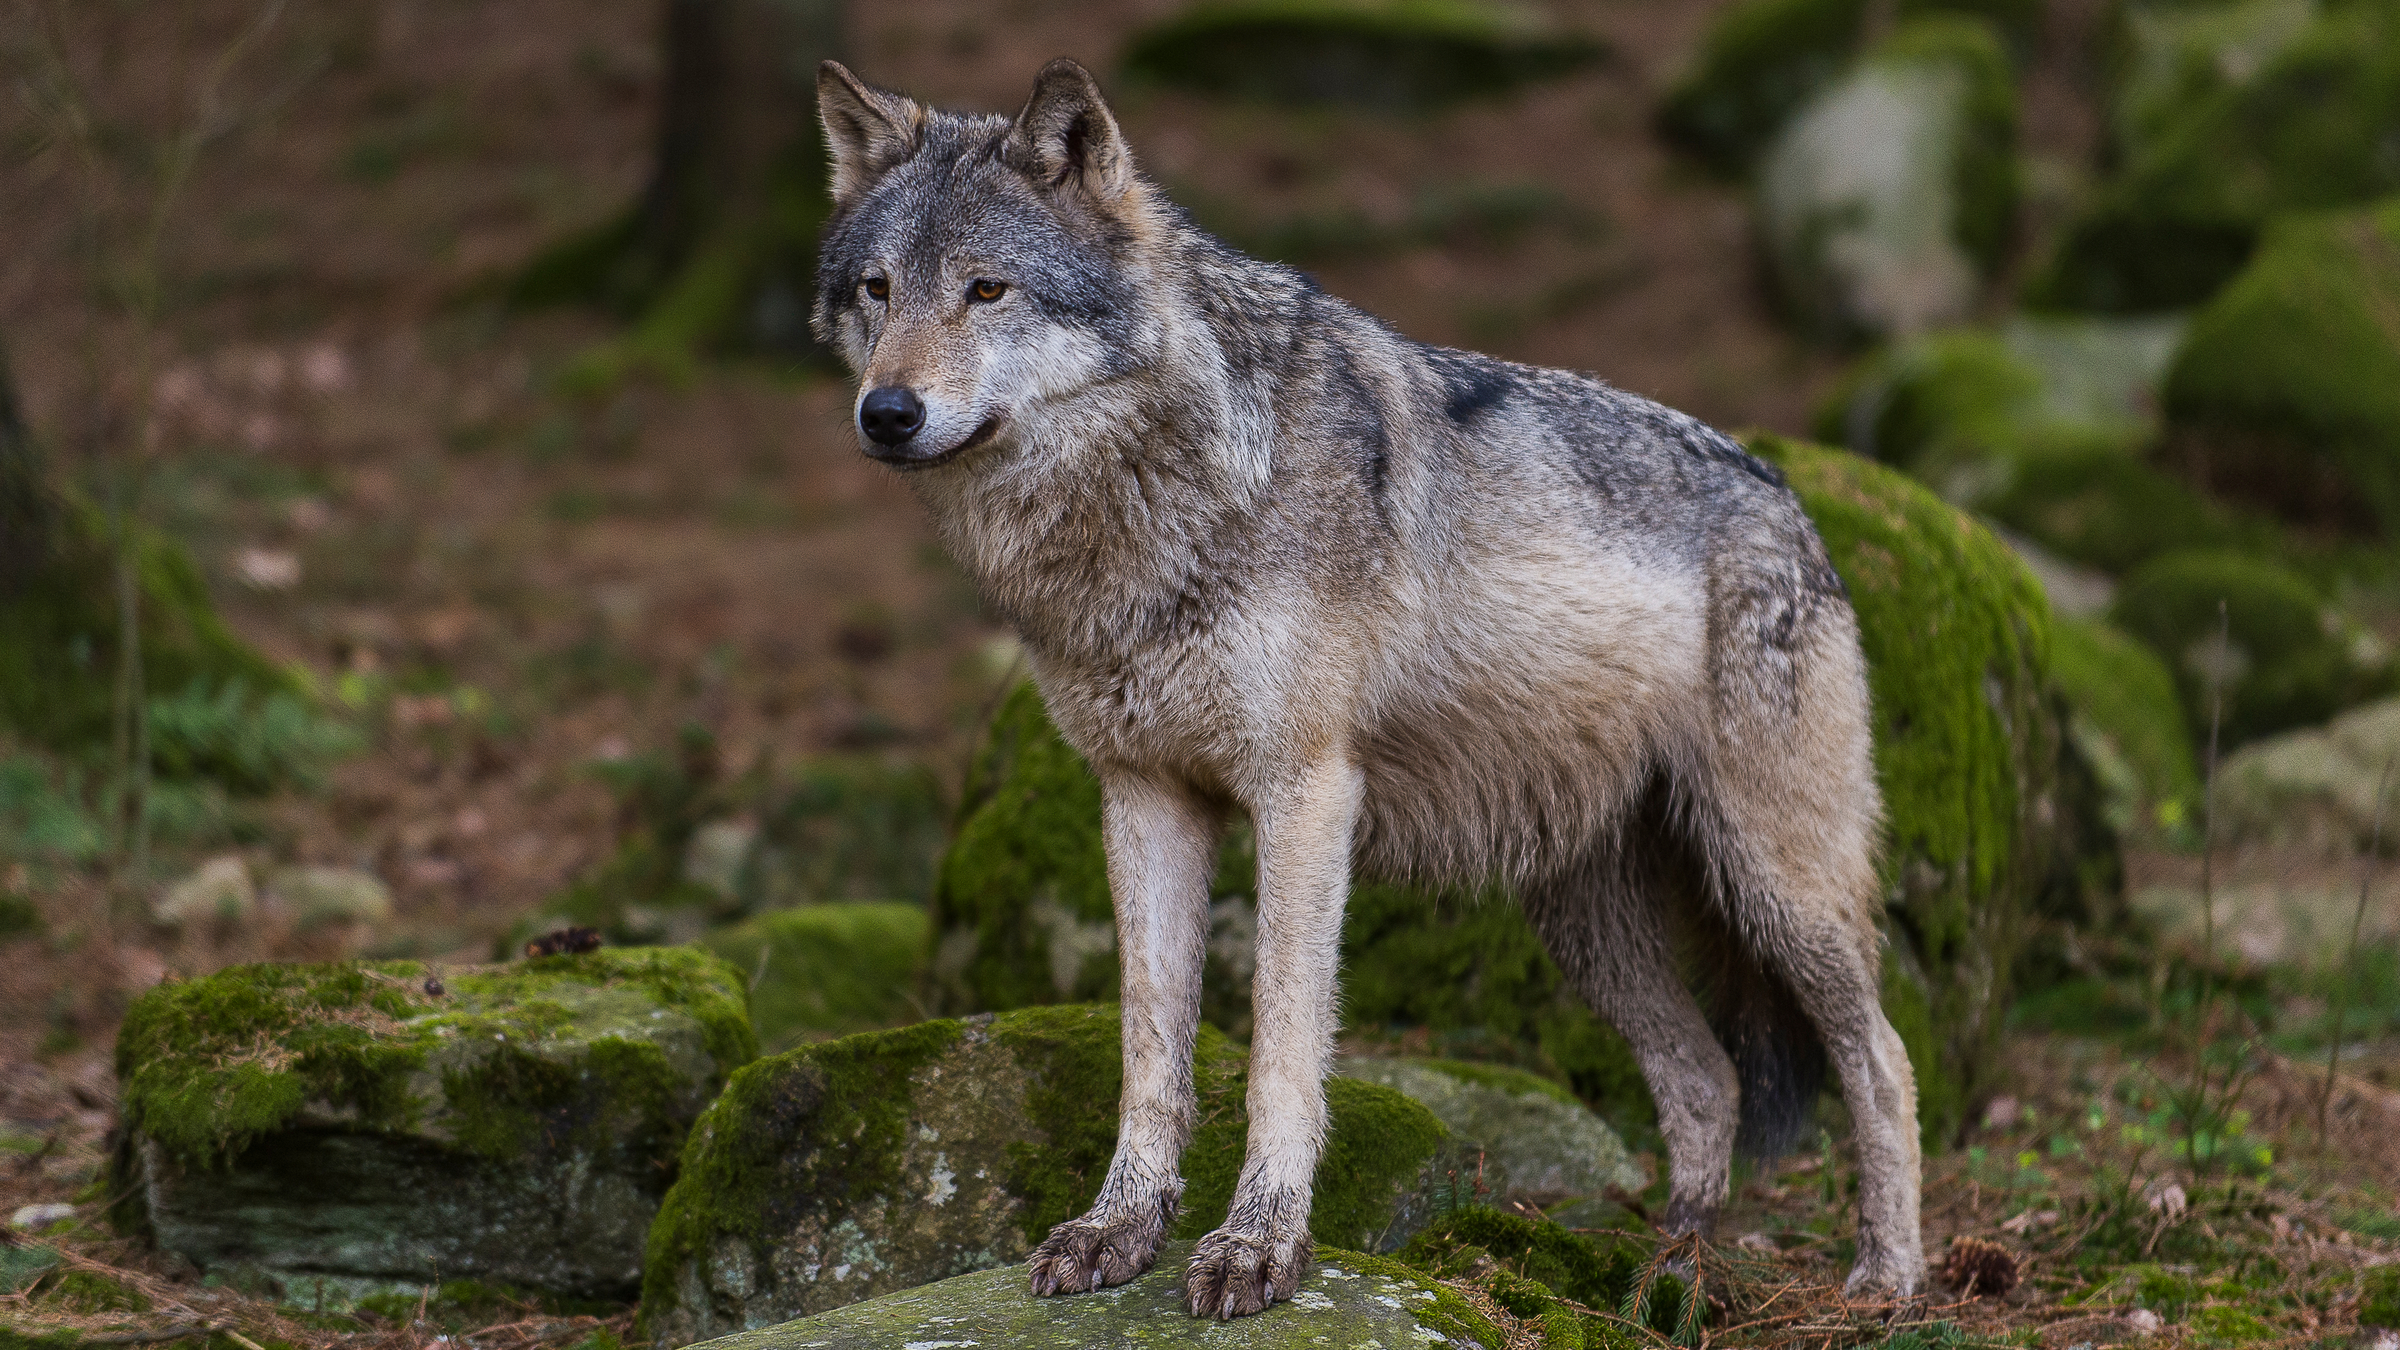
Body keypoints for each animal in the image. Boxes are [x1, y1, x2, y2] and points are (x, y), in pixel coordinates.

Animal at [811, 58, 1925, 1318]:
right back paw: (1662, 1273)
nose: (885, 413)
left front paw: (1257, 1248)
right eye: (878, 289)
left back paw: (1885, 1276)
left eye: (988, 290)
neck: (1163, 501)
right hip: (1587, 922)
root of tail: (1791, 501)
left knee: (1883, 1059)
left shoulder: (1305, 795)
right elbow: (1150, 1052)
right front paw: (1117, 1230)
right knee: (1707, 1082)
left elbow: (1282, 1050)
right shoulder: (1144, 797)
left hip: (1775, 884)